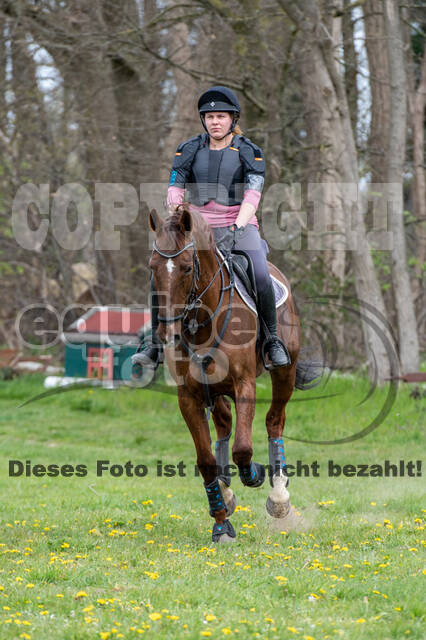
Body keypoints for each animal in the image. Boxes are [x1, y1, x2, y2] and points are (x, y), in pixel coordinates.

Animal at [148, 202, 312, 544]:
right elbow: (207, 461)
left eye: (187, 267)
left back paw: (279, 497)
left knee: (274, 421)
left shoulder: (243, 384)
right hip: (214, 388)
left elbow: (243, 449)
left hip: (284, 374)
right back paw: (227, 491)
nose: (167, 333)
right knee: (224, 424)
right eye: (152, 267)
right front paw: (222, 524)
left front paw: (255, 475)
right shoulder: (189, 396)